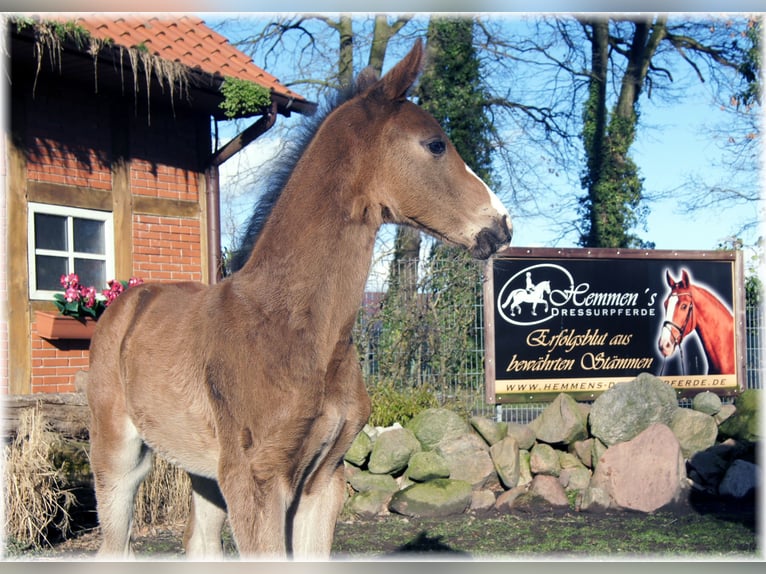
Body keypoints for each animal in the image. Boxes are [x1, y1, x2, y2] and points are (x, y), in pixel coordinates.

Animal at [85, 39, 512, 560]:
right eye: (435, 144)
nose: (502, 224)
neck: (295, 328)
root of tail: (124, 301)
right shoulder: (256, 481)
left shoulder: (322, 481)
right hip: (119, 455)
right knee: (115, 543)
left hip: (204, 470)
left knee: (200, 542)